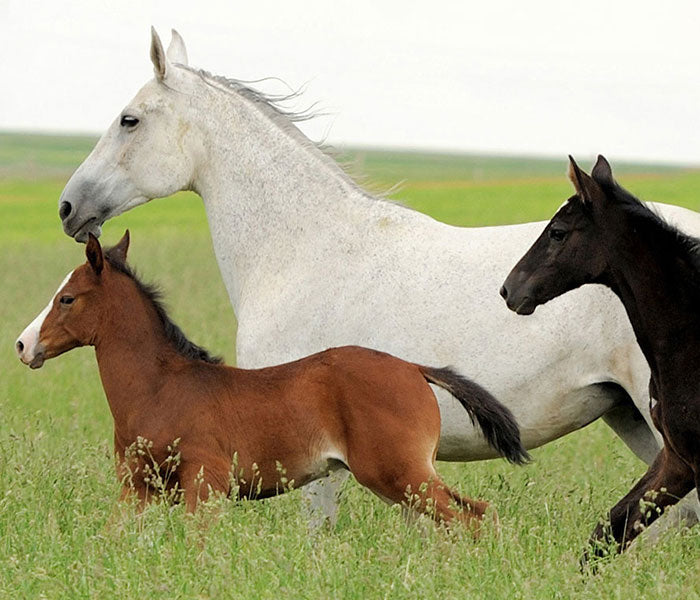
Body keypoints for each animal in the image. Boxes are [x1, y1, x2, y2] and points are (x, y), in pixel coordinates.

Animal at [15, 231, 529, 528]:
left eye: (67, 298)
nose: (23, 345)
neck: (159, 389)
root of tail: (414, 369)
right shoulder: (138, 488)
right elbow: (116, 541)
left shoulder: (204, 485)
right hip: (404, 479)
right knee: (474, 515)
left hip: (399, 474)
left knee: (466, 521)